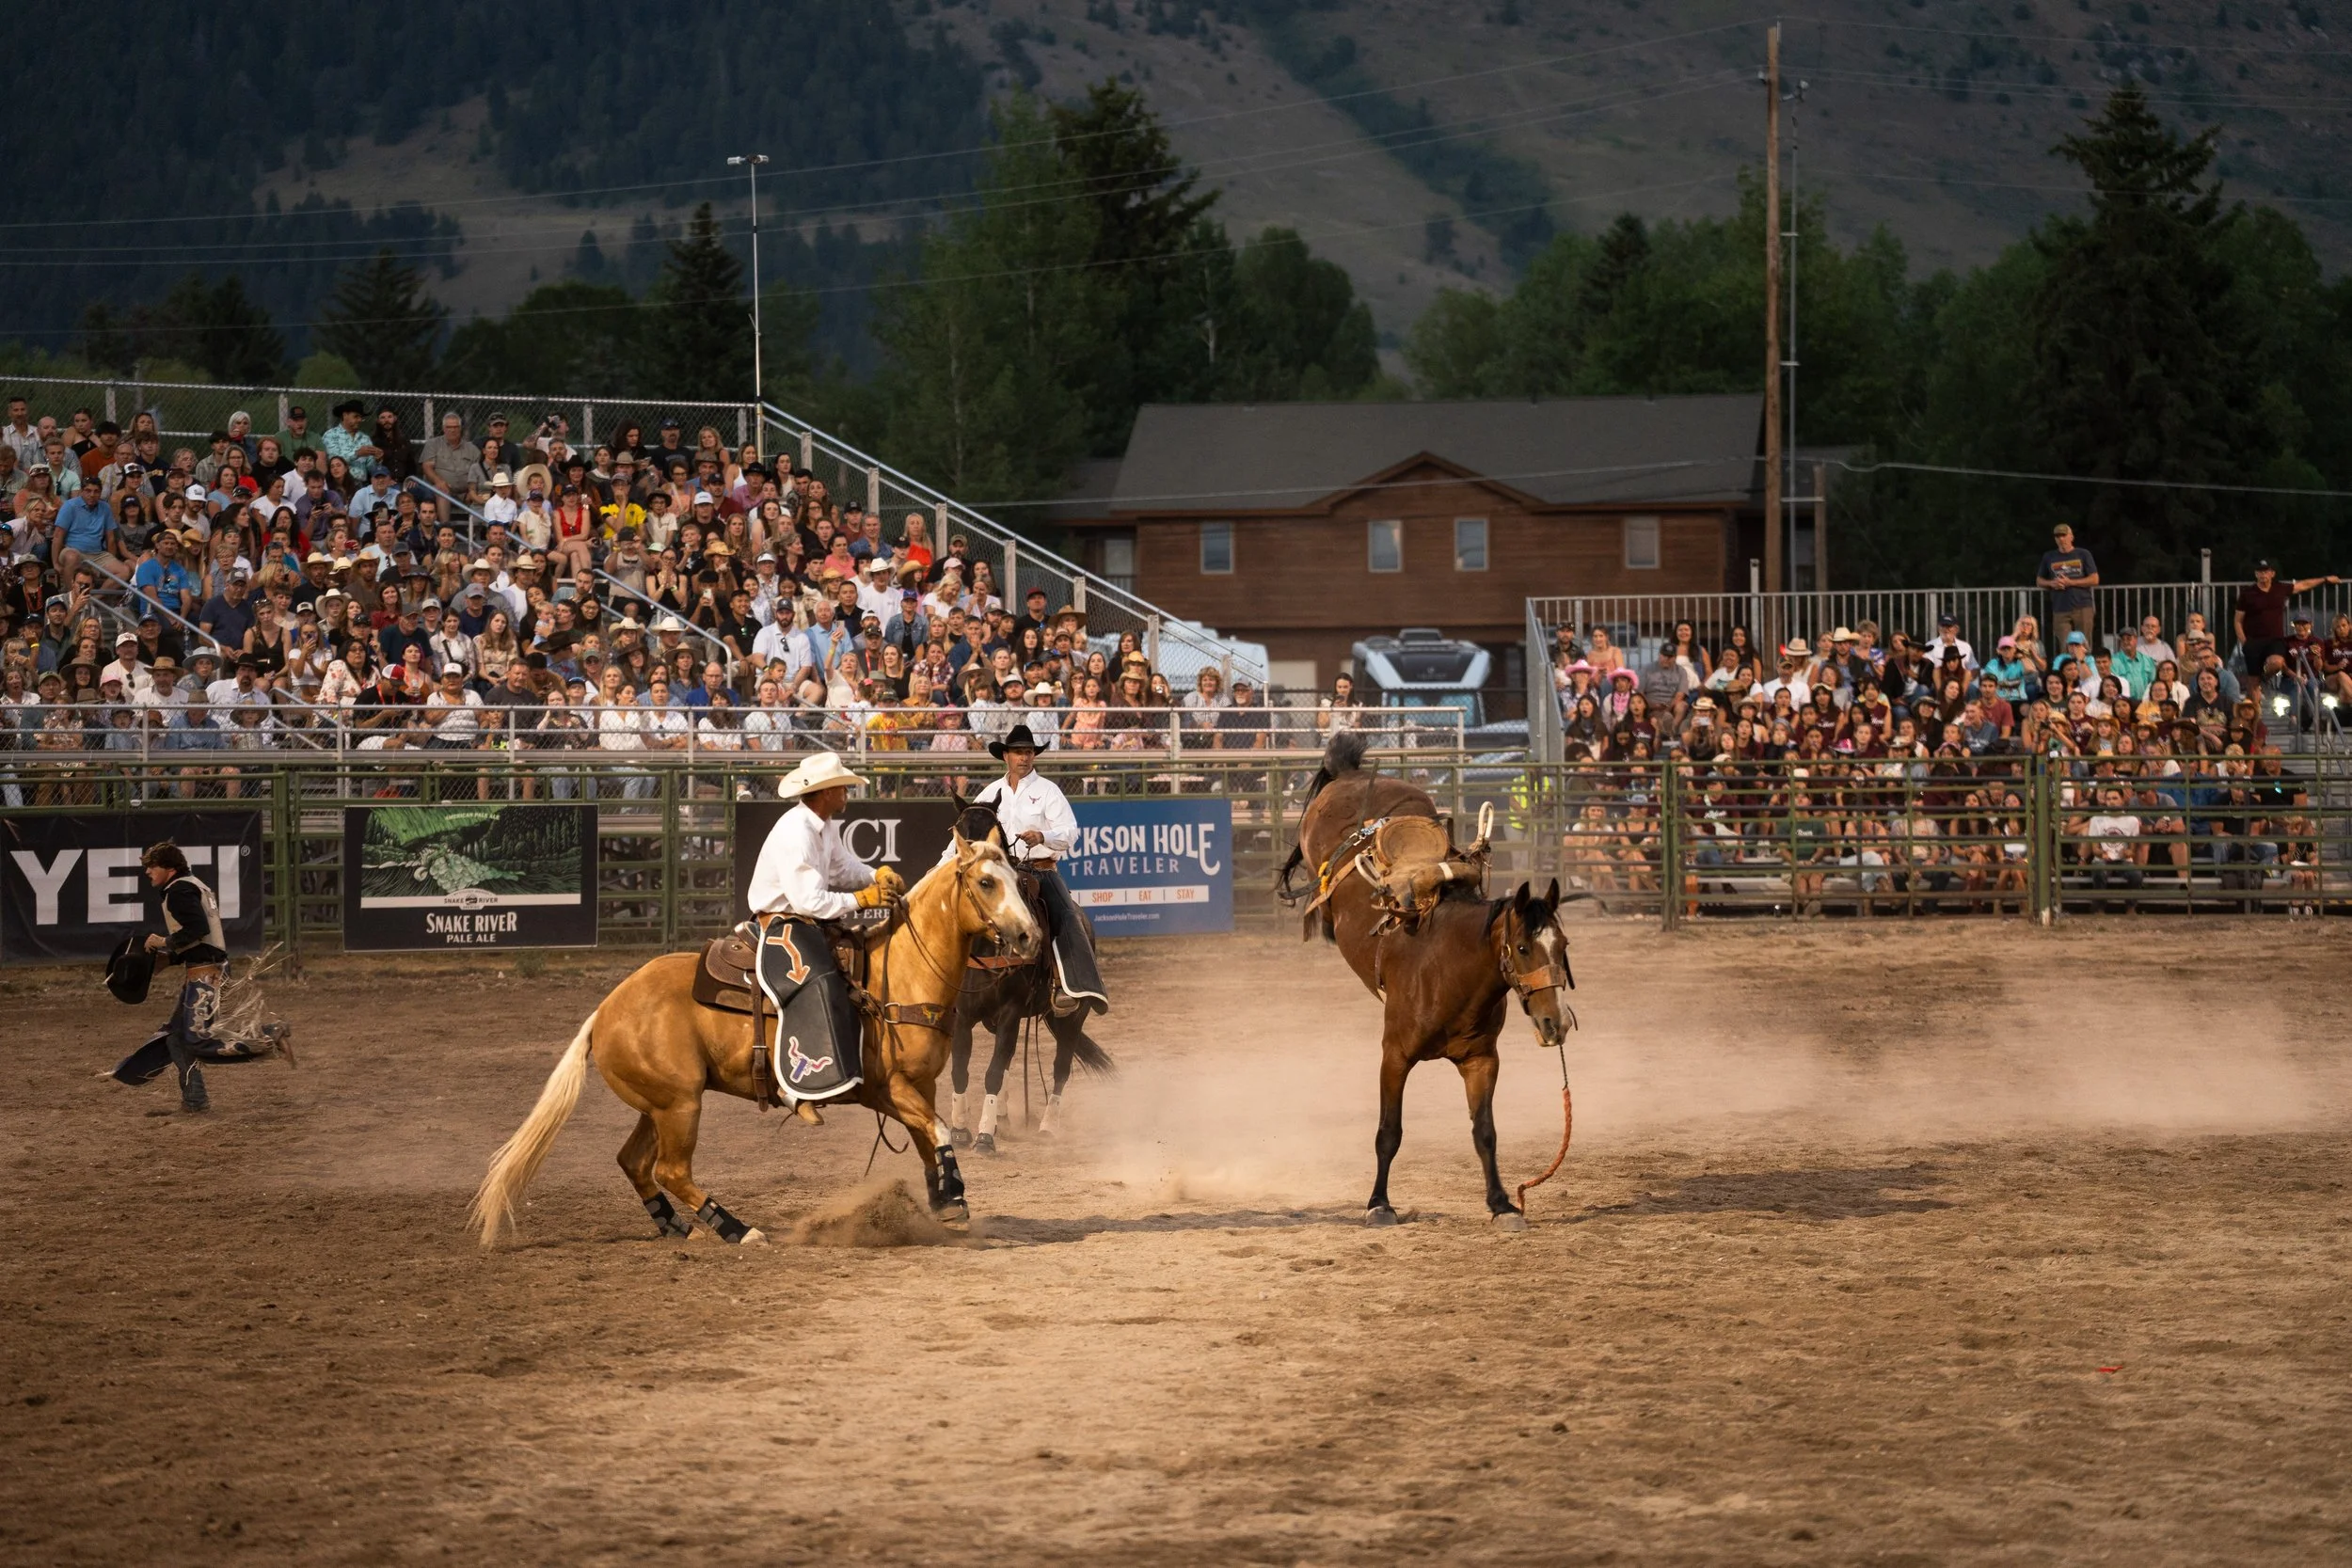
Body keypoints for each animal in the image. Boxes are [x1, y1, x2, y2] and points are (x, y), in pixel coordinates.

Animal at [469, 830, 1043, 1246]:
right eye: (986, 883)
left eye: (1016, 878)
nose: (1029, 936)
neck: (897, 976)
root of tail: (605, 1010)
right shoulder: (892, 1088)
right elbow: (939, 1131)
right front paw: (954, 1202)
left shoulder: (915, 1088)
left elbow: (930, 1139)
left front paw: (948, 1203)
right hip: (680, 1105)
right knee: (672, 1169)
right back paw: (737, 1230)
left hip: (659, 1104)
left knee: (634, 1162)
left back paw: (675, 1226)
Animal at [944, 799, 1113, 1152]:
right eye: (959, 832)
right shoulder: (964, 1014)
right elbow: (961, 1069)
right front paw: (961, 1130)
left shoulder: (1010, 1011)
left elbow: (993, 1072)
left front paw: (984, 1136)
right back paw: (1005, 1118)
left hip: (1071, 1017)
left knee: (1060, 1068)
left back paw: (1047, 1126)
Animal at [1282, 732, 1576, 1229]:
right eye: (1521, 948)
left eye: (1564, 946)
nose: (1556, 1023)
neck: (1446, 970)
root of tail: (1350, 774)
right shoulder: (1394, 1055)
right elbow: (1389, 1131)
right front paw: (1379, 1203)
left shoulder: (1482, 1060)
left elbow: (1485, 1132)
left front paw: (1502, 1204)